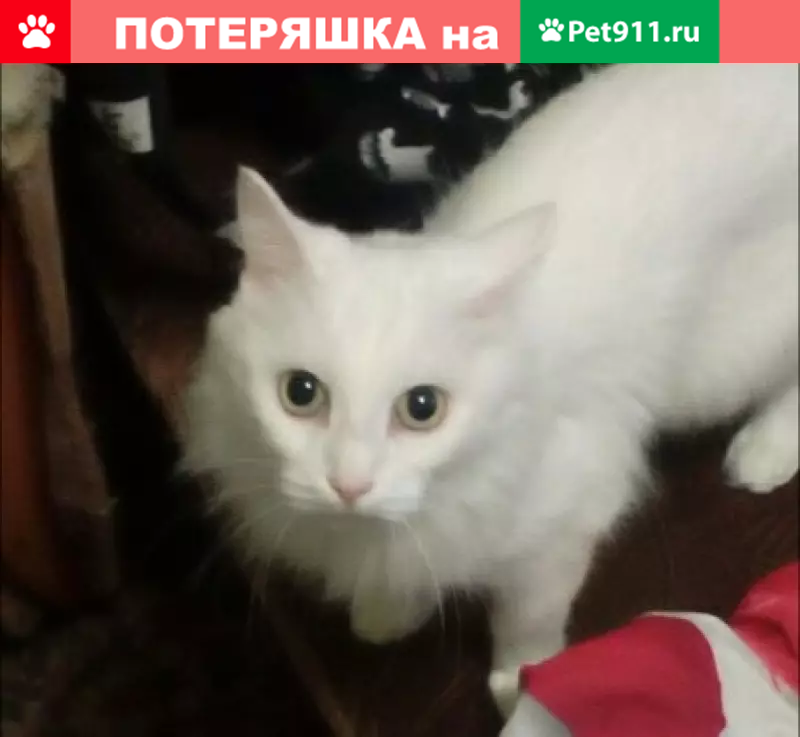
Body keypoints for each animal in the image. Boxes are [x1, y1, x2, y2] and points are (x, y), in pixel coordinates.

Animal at [181, 63, 798, 713]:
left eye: (422, 408)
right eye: (300, 393)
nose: (349, 485)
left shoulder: (565, 522)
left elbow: (528, 620)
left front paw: (522, 684)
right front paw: (388, 611)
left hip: (735, 352)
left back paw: (764, 452)